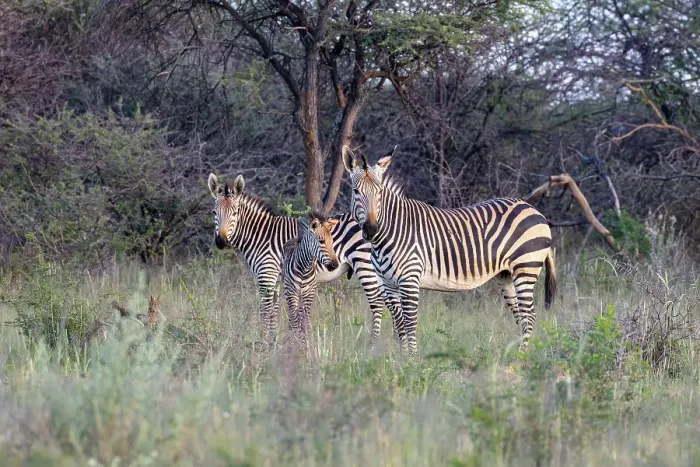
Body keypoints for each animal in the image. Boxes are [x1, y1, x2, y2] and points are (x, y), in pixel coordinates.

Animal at [282, 214, 340, 347]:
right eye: (321, 241)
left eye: (332, 241)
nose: (335, 265)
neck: (304, 268)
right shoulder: (292, 293)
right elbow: (295, 322)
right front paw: (297, 344)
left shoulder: (309, 293)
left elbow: (306, 322)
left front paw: (308, 344)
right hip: (289, 292)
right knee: (292, 317)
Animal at [342, 147, 557, 356]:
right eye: (355, 191)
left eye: (379, 192)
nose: (371, 229)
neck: (390, 233)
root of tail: (533, 210)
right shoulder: (387, 284)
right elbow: (399, 324)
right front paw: (401, 359)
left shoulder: (410, 280)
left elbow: (410, 323)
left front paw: (412, 360)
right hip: (506, 275)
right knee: (521, 314)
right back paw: (514, 355)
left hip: (525, 267)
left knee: (529, 315)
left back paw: (522, 357)